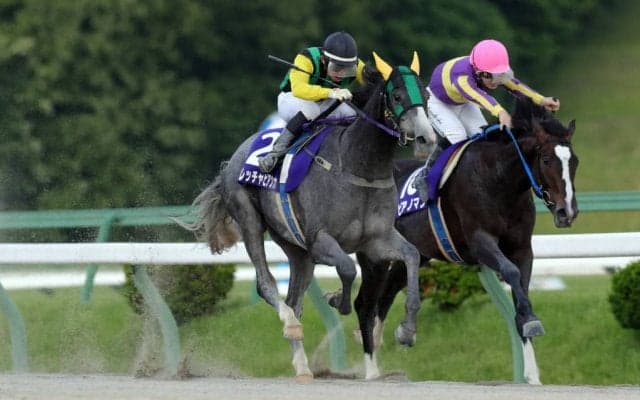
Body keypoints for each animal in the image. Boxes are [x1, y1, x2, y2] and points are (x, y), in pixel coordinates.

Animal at [180, 52, 437, 382]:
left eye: (426, 96)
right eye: (397, 95)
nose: (426, 139)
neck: (359, 166)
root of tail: (233, 158)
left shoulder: (376, 241)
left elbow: (412, 256)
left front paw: (406, 330)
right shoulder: (320, 241)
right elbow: (347, 269)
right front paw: (336, 299)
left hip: (296, 250)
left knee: (295, 300)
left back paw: (302, 366)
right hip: (250, 220)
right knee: (267, 284)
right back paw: (290, 324)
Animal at [354, 97, 578, 384]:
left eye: (575, 162)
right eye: (547, 159)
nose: (567, 212)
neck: (498, 179)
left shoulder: (522, 248)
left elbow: (521, 293)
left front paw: (532, 373)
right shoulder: (480, 242)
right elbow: (511, 272)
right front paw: (532, 322)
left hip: (415, 253)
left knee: (386, 294)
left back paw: (401, 334)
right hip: (373, 255)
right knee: (365, 304)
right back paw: (371, 369)